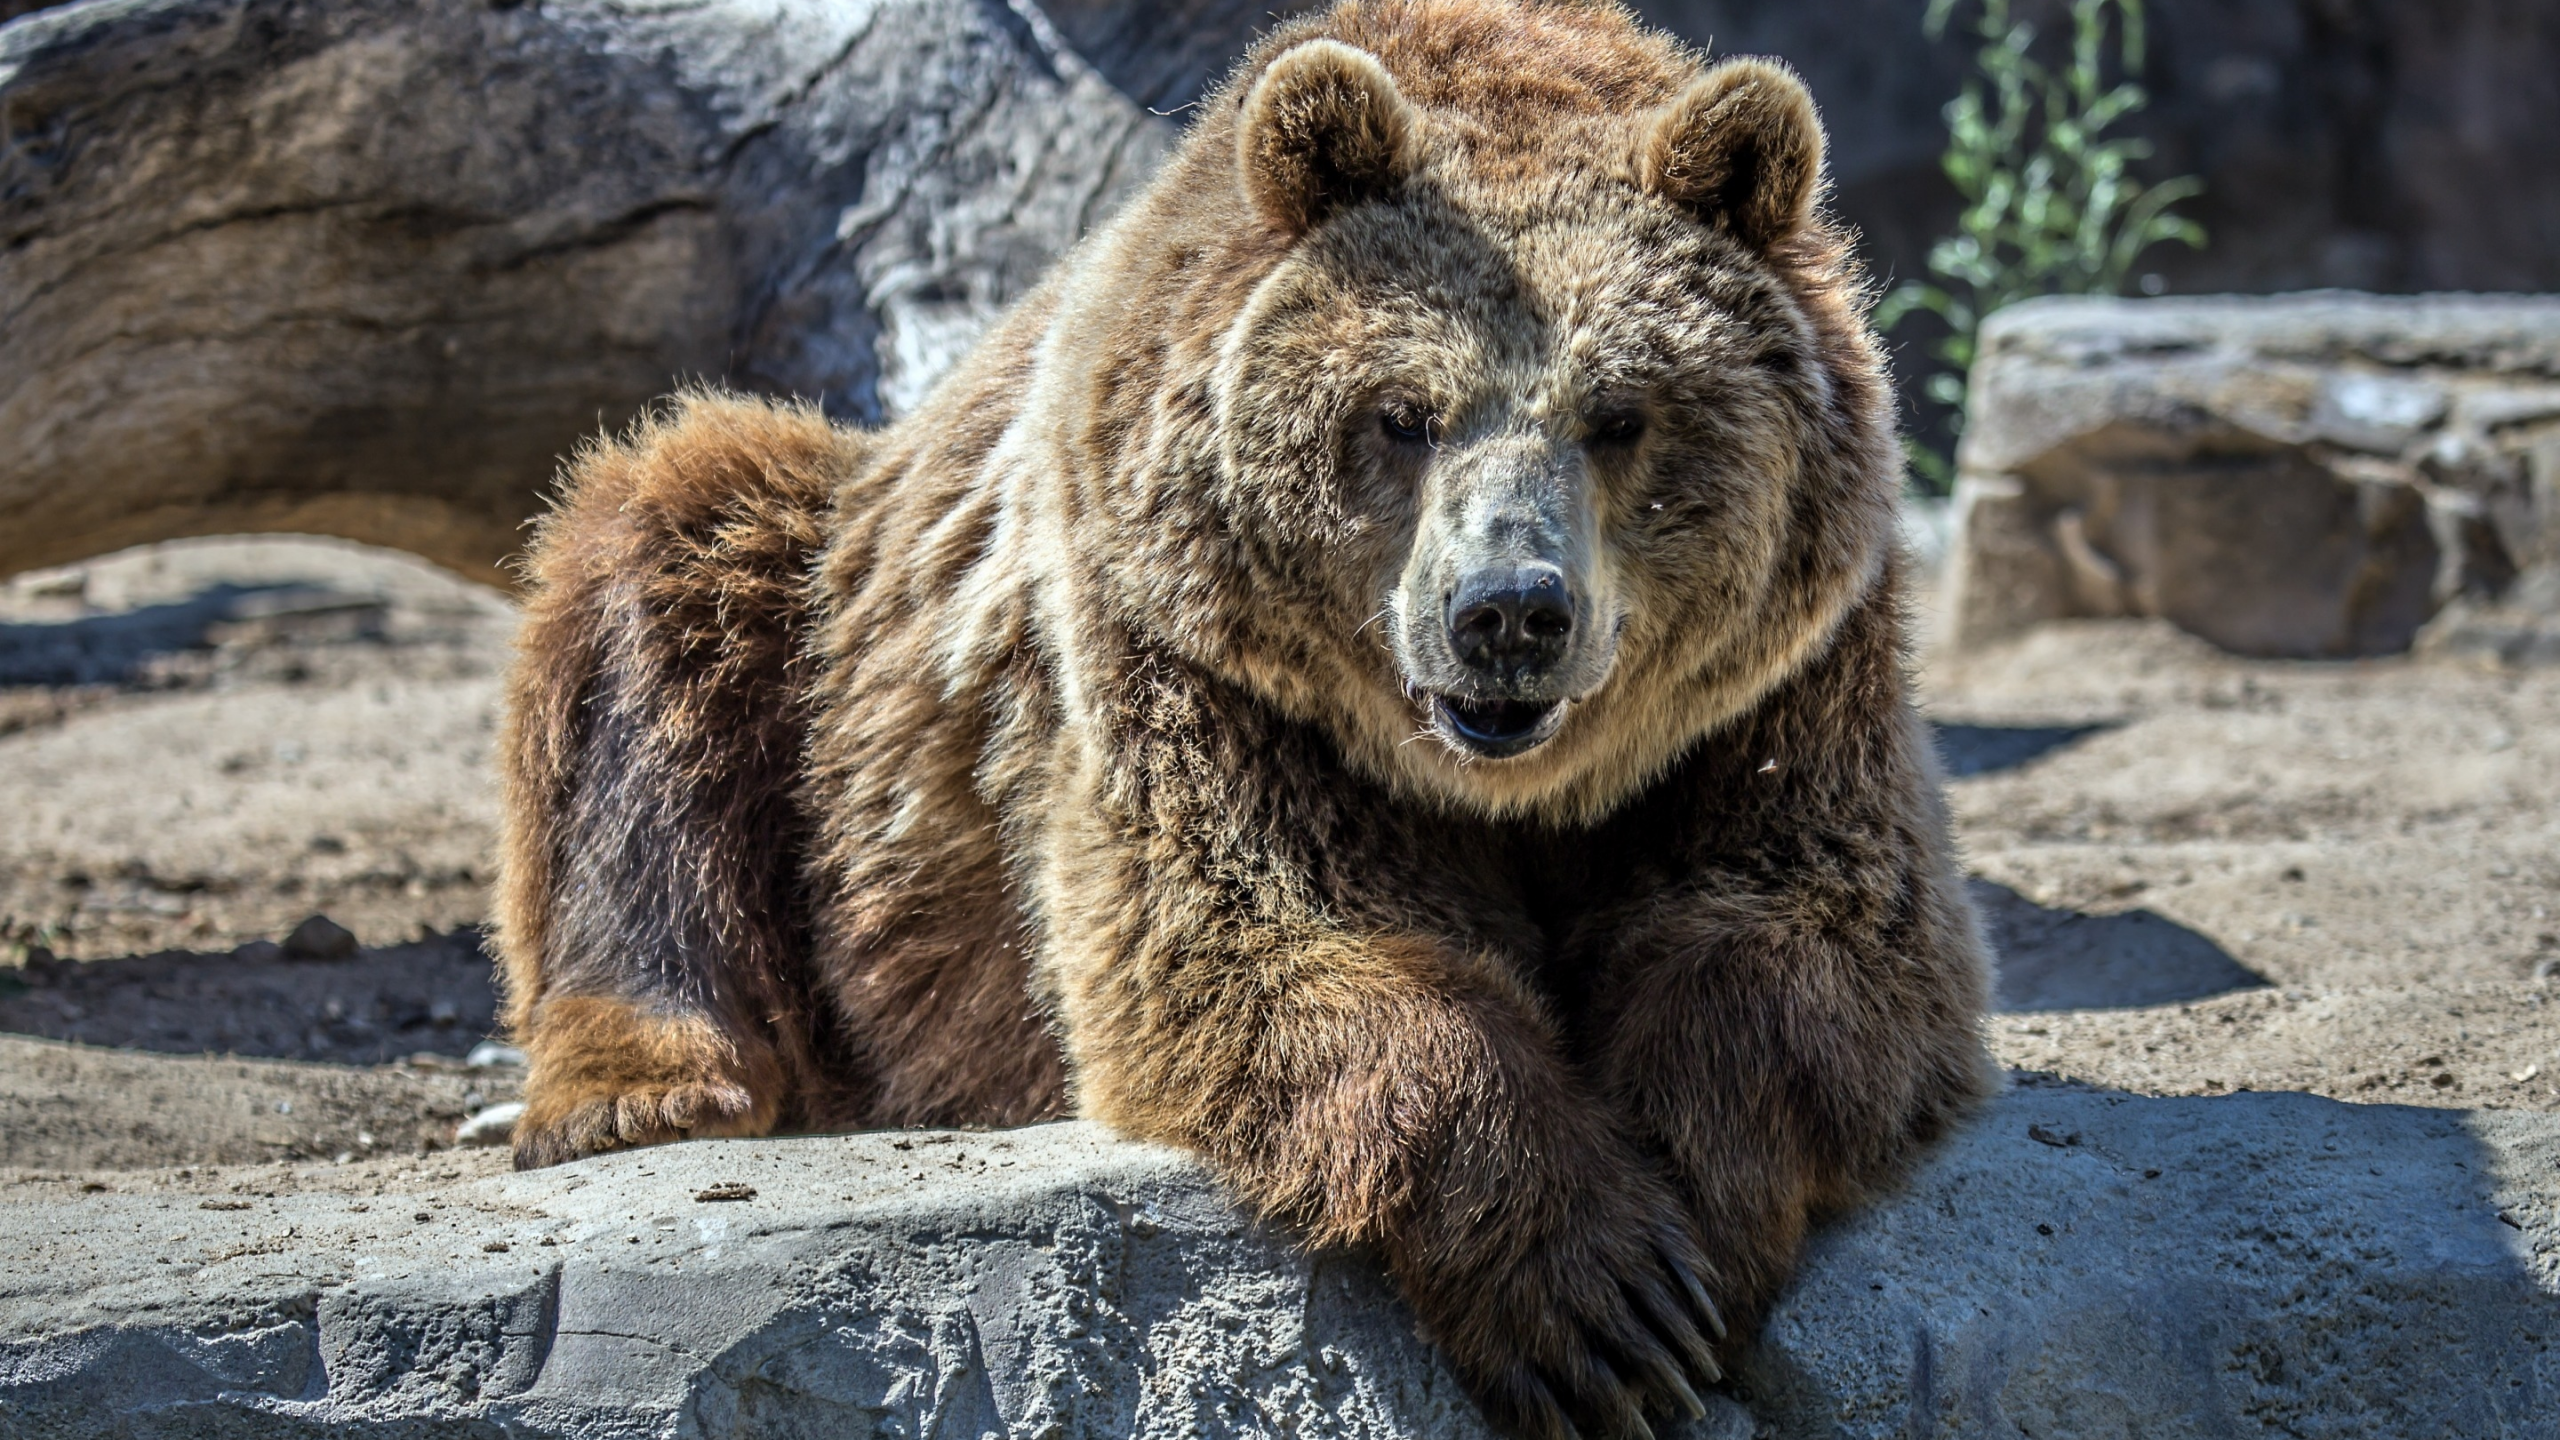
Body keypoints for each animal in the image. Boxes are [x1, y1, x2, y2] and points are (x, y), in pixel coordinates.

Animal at [483, 5, 1996, 1424]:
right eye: (1403, 413)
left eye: (1620, 413)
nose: (1508, 611)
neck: (1501, 786)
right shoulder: (1186, 662)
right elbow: (1254, 939)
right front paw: (1596, 1293)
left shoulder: (1788, 686)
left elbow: (1809, 927)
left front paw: (1687, 1215)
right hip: (825, 623)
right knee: (670, 551)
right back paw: (645, 1084)